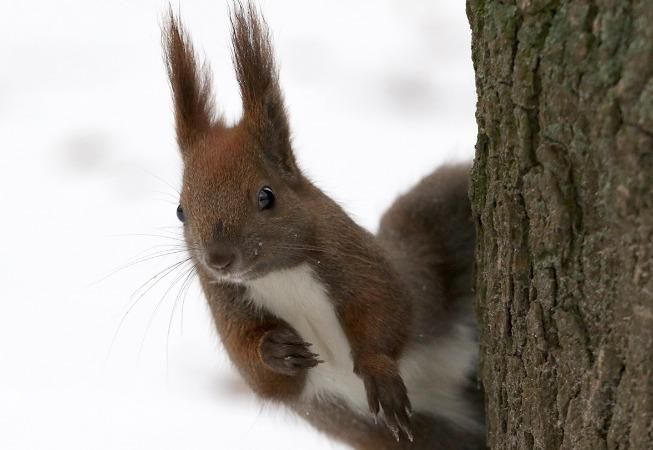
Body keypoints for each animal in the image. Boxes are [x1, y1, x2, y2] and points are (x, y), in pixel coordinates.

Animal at [163, 4, 484, 450]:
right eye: (181, 211)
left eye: (267, 195)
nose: (219, 260)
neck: (284, 279)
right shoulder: (229, 309)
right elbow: (259, 374)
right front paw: (275, 349)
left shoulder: (372, 267)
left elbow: (389, 307)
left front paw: (378, 370)